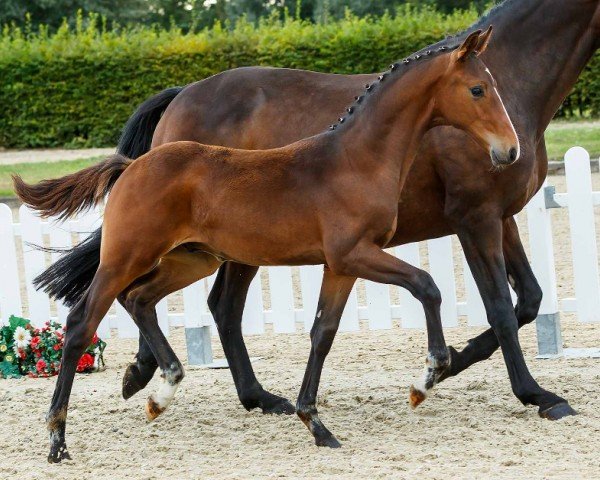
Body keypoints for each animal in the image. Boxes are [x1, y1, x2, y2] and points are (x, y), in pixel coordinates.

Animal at [36, 0, 596, 418]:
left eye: (494, 87)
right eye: (479, 89)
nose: (507, 151)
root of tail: (179, 96)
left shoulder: (502, 216)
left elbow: (529, 299)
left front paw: (454, 363)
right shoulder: (474, 217)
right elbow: (500, 306)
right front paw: (533, 393)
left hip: (218, 249)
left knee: (202, 303)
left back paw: (227, 391)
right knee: (192, 302)